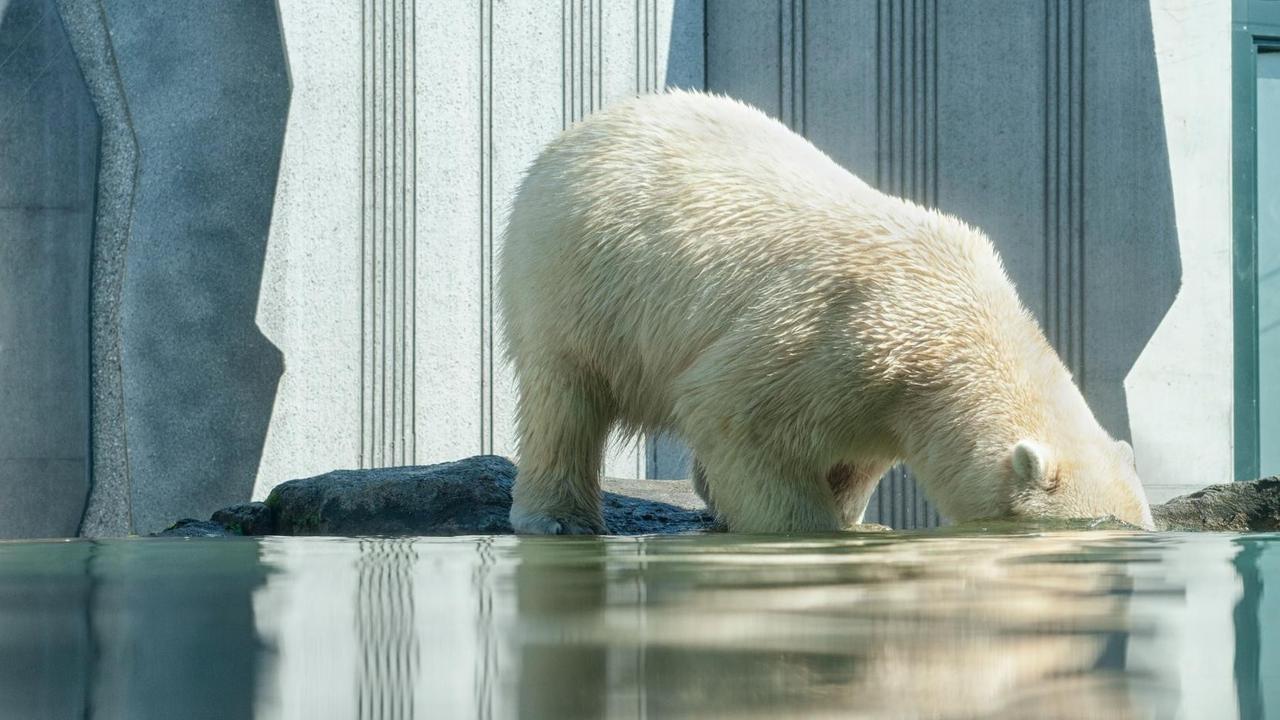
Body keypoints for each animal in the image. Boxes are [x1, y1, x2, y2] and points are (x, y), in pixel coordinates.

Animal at [499, 89, 1162, 532]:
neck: (954, 326)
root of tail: (586, 126)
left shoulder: (884, 398)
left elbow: (855, 458)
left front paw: (849, 518)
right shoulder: (838, 333)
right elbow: (734, 413)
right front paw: (809, 529)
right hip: (577, 278)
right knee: (564, 395)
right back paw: (560, 517)